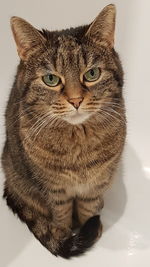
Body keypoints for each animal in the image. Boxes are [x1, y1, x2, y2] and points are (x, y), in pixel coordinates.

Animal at [2, 4, 126, 260]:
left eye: (92, 74)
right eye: (51, 79)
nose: (76, 100)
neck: (77, 141)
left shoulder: (95, 185)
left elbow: (89, 210)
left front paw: (92, 228)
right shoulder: (54, 190)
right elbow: (61, 216)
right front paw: (65, 233)